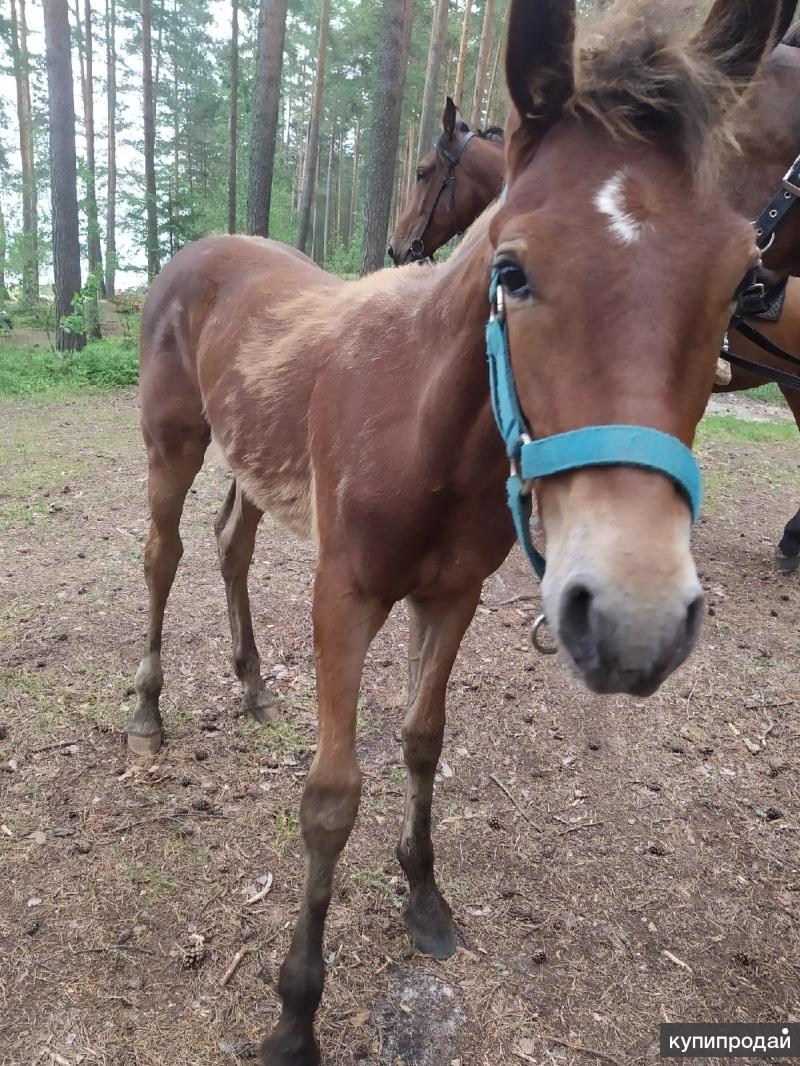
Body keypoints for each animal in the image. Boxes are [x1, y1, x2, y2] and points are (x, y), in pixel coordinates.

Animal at [130, 0, 785, 1057]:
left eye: (741, 281)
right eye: (510, 270)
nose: (635, 617)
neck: (422, 420)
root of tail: (204, 250)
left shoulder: (452, 596)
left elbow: (423, 740)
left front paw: (425, 898)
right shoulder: (345, 597)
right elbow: (330, 799)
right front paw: (295, 1012)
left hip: (254, 458)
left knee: (230, 546)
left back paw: (253, 685)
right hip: (174, 442)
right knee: (164, 557)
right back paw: (148, 713)